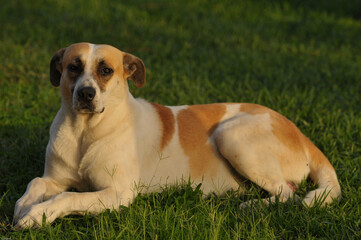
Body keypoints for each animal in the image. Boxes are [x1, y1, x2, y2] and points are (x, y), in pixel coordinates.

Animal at [14, 42, 340, 229]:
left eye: (106, 70)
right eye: (73, 67)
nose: (85, 94)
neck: (85, 131)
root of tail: (301, 134)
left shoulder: (117, 193)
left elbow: (68, 196)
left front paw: (38, 215)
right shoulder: (54, 178)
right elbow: (35, 184)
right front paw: (25, 207)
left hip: (232, 135)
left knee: (287, 193)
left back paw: (252, 206)